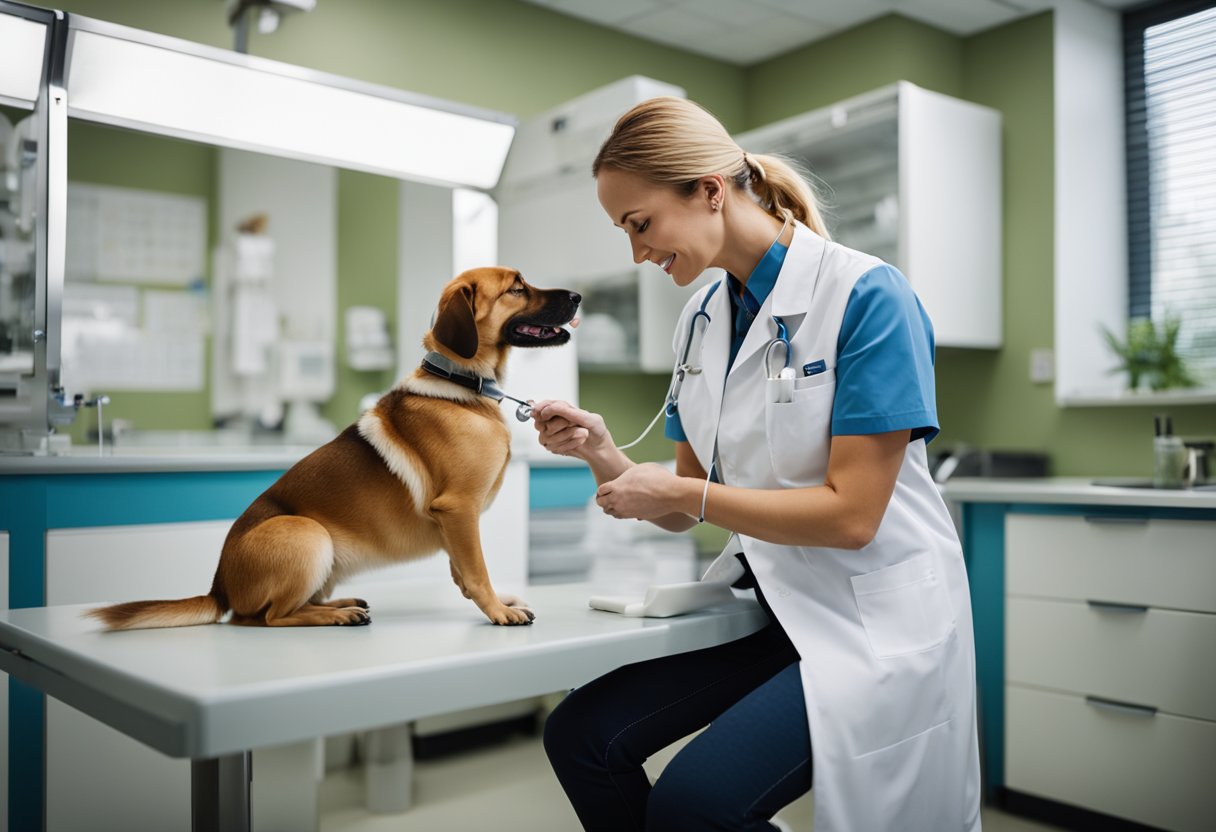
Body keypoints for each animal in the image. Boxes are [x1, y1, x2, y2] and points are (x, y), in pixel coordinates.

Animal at [88, 270, 581, 627]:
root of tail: (219, 588)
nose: (578, 296)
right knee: (268, 617)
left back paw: (342, 604)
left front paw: (496, 600)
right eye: (516, 288)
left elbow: (464, 571)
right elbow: (476, 571)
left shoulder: (456, 524)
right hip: (307, 534)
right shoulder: (458, 510)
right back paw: (337, 617)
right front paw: (498, 610)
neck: (462, 385)